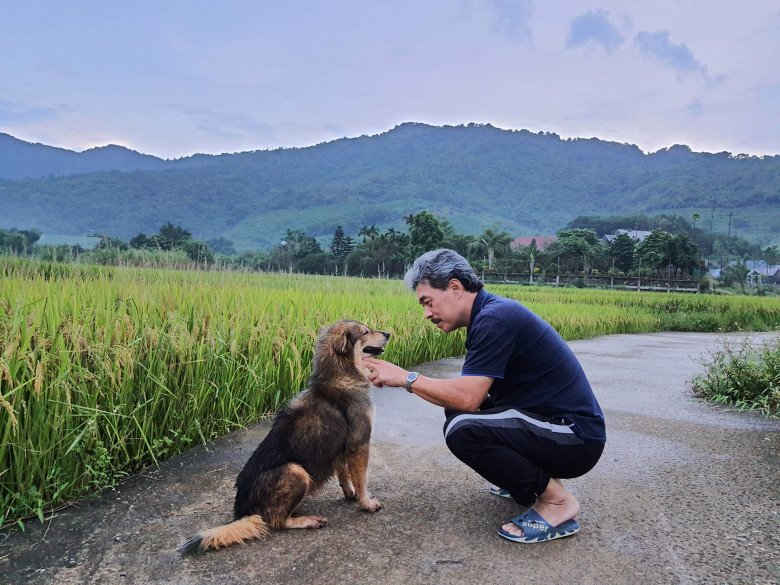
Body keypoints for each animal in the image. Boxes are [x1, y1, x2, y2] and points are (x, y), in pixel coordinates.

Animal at [178, 320, 388, 552]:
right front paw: (367, 503)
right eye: (365, 331)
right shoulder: (360, 443)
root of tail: (244, 510)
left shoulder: (341, 447)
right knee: (276, 521)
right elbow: (362, 479)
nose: (388, 333)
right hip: (295, 471)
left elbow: (344, 474)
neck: (340, 373)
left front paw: (350, 494)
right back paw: (308, 520)